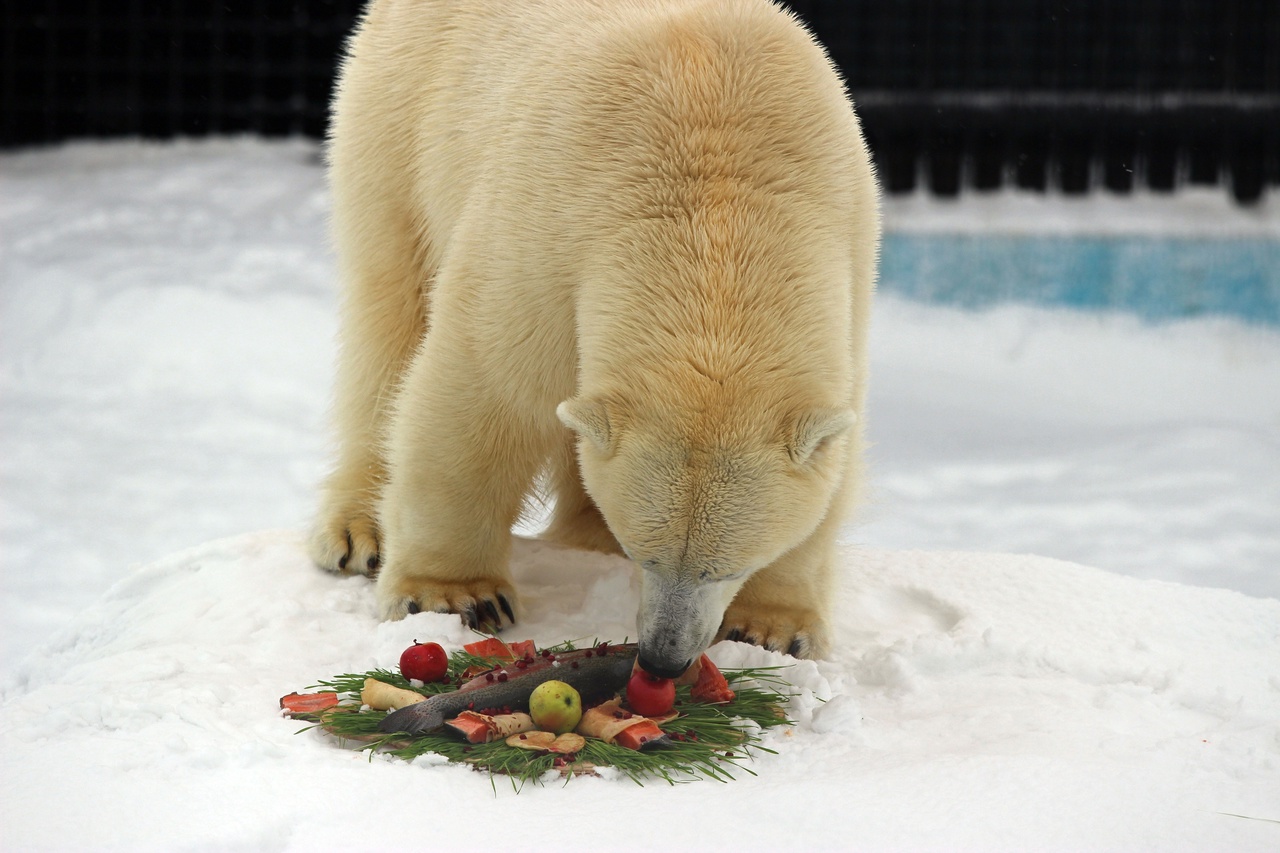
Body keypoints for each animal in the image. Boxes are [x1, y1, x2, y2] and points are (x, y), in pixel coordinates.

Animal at [309, 0, 880, 676]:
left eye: (727, 567)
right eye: (647, 554)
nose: (663, 657)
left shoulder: (846, 259)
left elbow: (831, 466)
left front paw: (774, 627)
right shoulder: (546, 231)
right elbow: (482, 393)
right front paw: (455, 595)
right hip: (398, 116)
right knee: (389, 311)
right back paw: (358, 530)